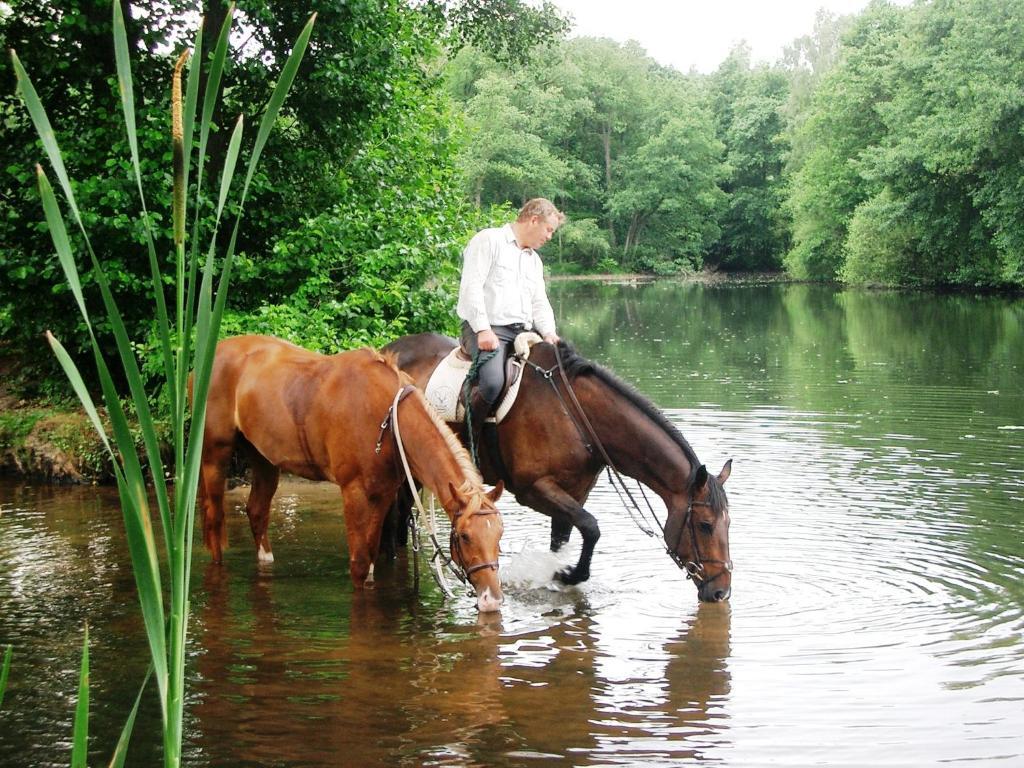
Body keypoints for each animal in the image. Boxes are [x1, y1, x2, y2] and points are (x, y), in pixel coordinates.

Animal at [194, 335, 503, 614]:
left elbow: (371, 559)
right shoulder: (354, 493)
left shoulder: (382, 494)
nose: (491, 600)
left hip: (263, 458)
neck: (388, 418)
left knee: (257, 511)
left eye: (499, 533)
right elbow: (359, 565)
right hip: (214, 454)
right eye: (464, 536)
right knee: (214, 518)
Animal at [385, 333, 737, 606]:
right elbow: (592, 527)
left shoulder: (573, 494)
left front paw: (561, 576)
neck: (578, 418)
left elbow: (568, 538)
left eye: (728, 524)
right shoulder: (534, 490)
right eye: (705, 525)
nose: (721, 592)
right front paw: (565, 574)